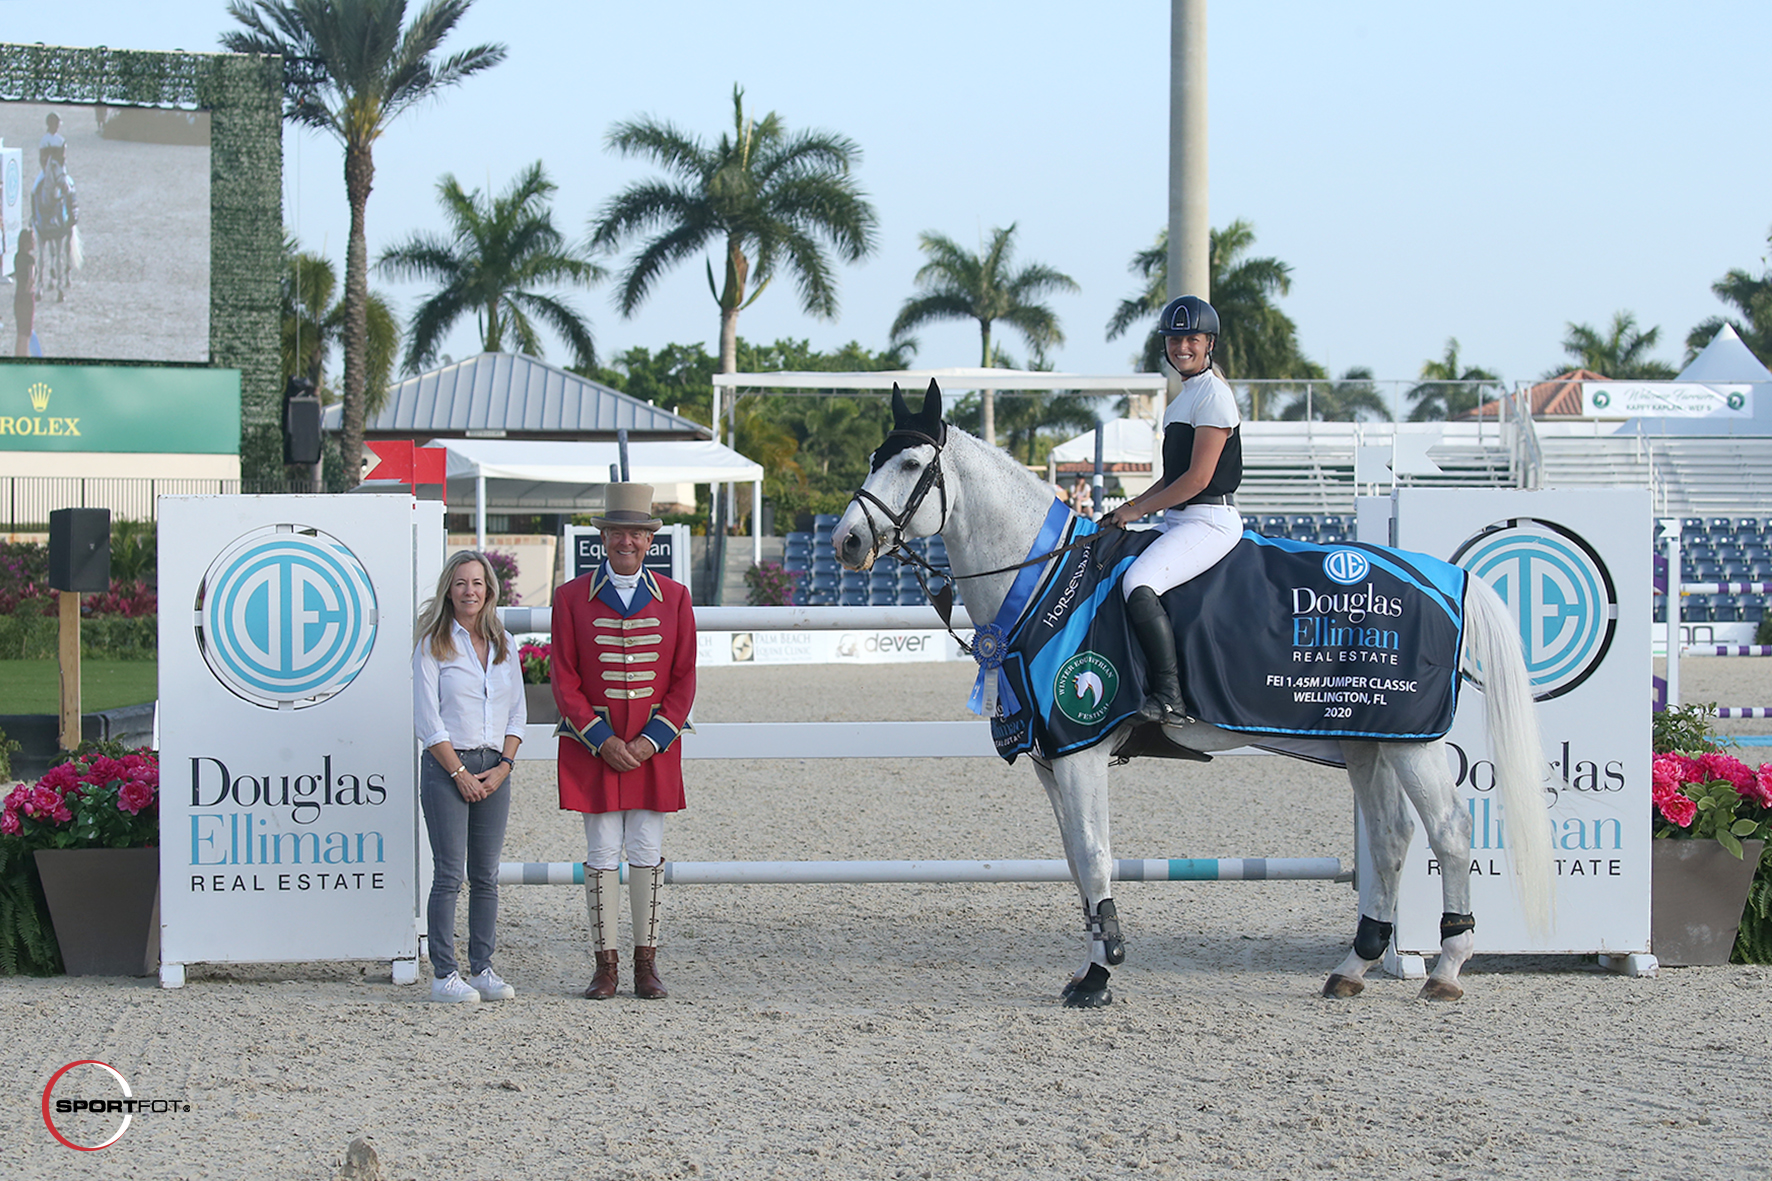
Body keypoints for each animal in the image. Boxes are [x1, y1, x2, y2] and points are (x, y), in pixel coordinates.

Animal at [836, 381, 1545, 1007]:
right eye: (872, 457)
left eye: (909, 463)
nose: (847, 541)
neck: (1045, 580)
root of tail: (1450, 576)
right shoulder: (1052, 762)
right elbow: (1075, 864)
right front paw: (1089, 967)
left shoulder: (1081, 751)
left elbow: (1095, 857)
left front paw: (1100, 976)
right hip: (1368, 740)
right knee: (1393, 837)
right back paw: (1354, 966)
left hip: (1412, 743)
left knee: (1450, 831)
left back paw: (1446, 969)